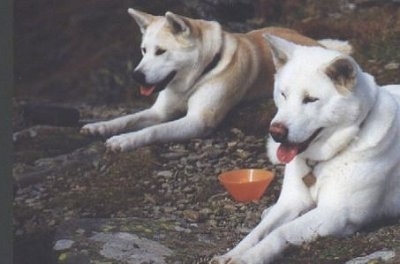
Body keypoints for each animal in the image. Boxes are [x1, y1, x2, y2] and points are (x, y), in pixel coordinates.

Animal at [80, 8, 350, 151]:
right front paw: (100, 127)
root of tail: (312, 40)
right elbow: (127, 119)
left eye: (161, 51)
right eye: (144, 50)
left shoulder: (198, 121)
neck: (197, 76)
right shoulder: (159, 111)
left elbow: (153, 131)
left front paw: (124, 140)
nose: (135, 76)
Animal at [211, 35, 400, 264]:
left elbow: (279, 232)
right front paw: (233, 253)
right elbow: (258, 231)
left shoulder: (335, 214)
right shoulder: (291, 201)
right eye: (283, 94)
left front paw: (250, 257)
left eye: (310, 100)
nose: (276, 132)